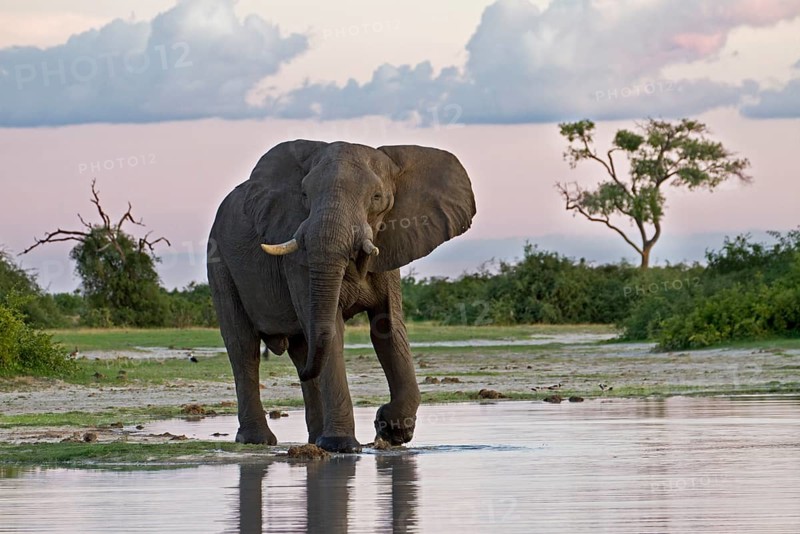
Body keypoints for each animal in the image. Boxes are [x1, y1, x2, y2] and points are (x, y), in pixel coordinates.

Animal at [207, 140, 476, 453]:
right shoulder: (297, 257)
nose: (383, 426)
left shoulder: (389, 246)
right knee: (244, 346)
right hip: (220, 262)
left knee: (302, 349)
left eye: (376, 198)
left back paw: (314, 440)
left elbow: (387, 330)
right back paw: (259, 440)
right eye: (304, 195)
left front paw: (391, 430)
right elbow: (333, 330)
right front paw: (343, 446)